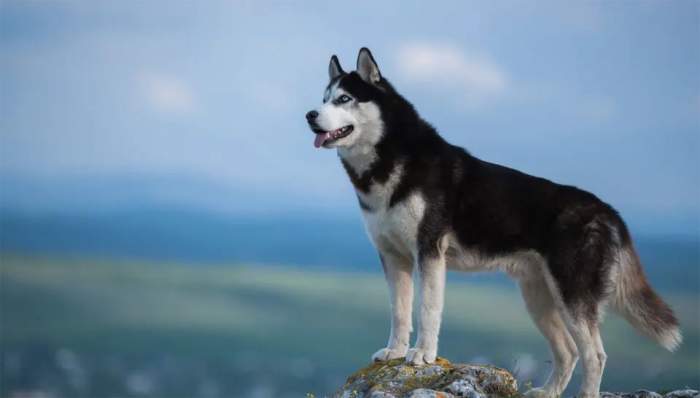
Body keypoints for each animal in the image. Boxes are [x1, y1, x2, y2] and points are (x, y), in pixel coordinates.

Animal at [304, 48, 680, 396]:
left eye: (344, 98)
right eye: (323, 98)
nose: (309, 115)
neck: (389, 159)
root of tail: (608, 210)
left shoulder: (429, 252)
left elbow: (427, 310)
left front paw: (422, 354)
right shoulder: (393, 256)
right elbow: (399, 312)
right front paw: (395, 351)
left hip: (572, 297)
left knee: (595, 356)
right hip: (539, 298)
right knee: (569, 352)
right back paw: (548, 391)